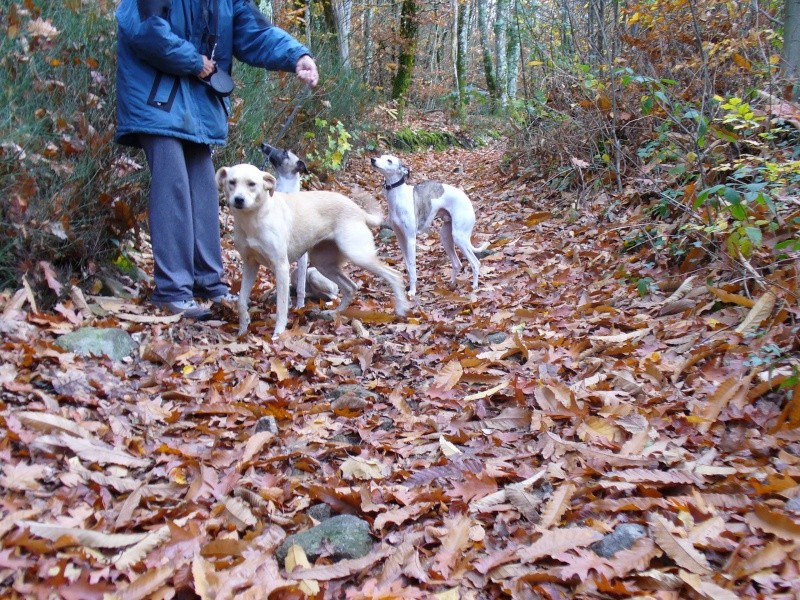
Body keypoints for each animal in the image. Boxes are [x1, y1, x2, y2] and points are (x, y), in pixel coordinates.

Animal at [217, 164, 410, 336]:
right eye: (232, 182)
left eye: (252, 184)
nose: (239, 199)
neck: (254, 219)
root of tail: (358, 210)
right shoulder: (250, 265)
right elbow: (241, 301)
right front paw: (242, 329)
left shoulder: (281, 267)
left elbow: (281, 307)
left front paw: (278, 333)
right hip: (323, 263)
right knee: (350, 287)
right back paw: (334, 313)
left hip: (358, 255)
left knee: (393, 275)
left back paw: (401, 308)